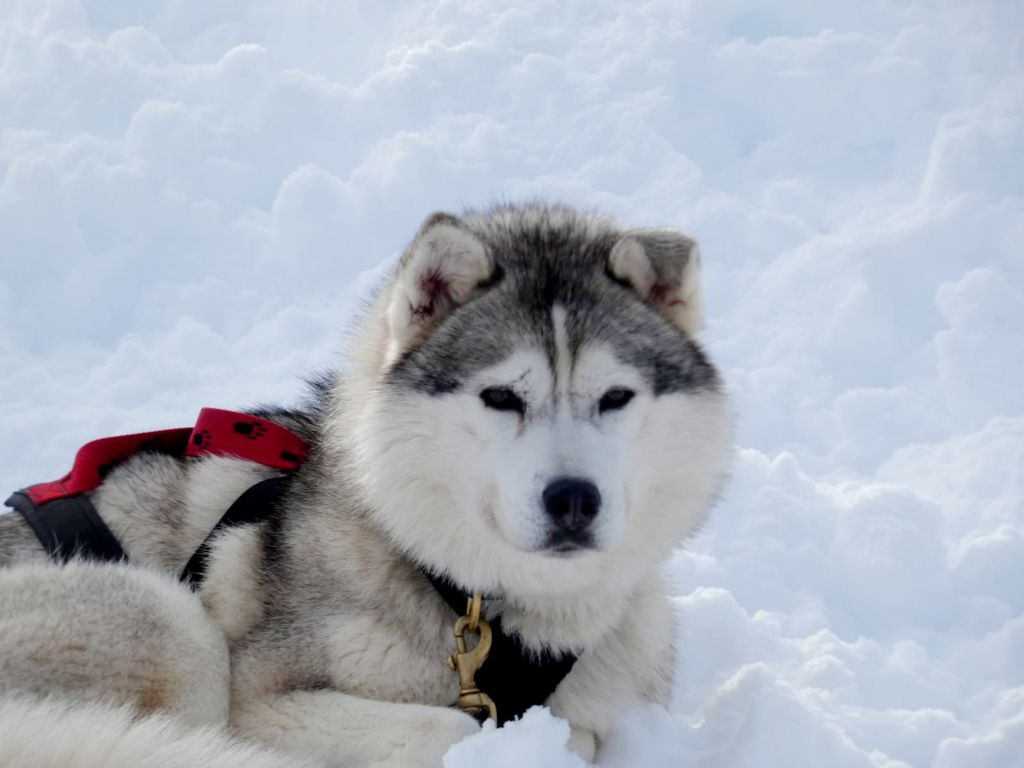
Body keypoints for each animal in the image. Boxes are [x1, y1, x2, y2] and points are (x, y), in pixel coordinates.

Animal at [2, 205, 737, 768]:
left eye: (616, 397)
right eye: (500, 396)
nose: (574, 499)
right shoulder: (262, 702)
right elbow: (457, 724)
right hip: (167, 623)